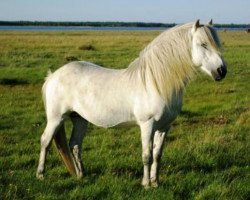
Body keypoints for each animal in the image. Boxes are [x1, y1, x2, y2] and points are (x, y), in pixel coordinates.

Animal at [36, 20, 227, 188]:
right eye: (203, 44)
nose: (222, 71)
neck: (154, 83)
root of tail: (53, 76)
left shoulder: (164, 127)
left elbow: (158, 155)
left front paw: (156, 182)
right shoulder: (147, 125)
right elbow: (147, 155)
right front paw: (146, 184)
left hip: (80, 119)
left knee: (75, 145)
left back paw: (81, 175)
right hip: (56, 118)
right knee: (45, 141)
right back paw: (41, 175)